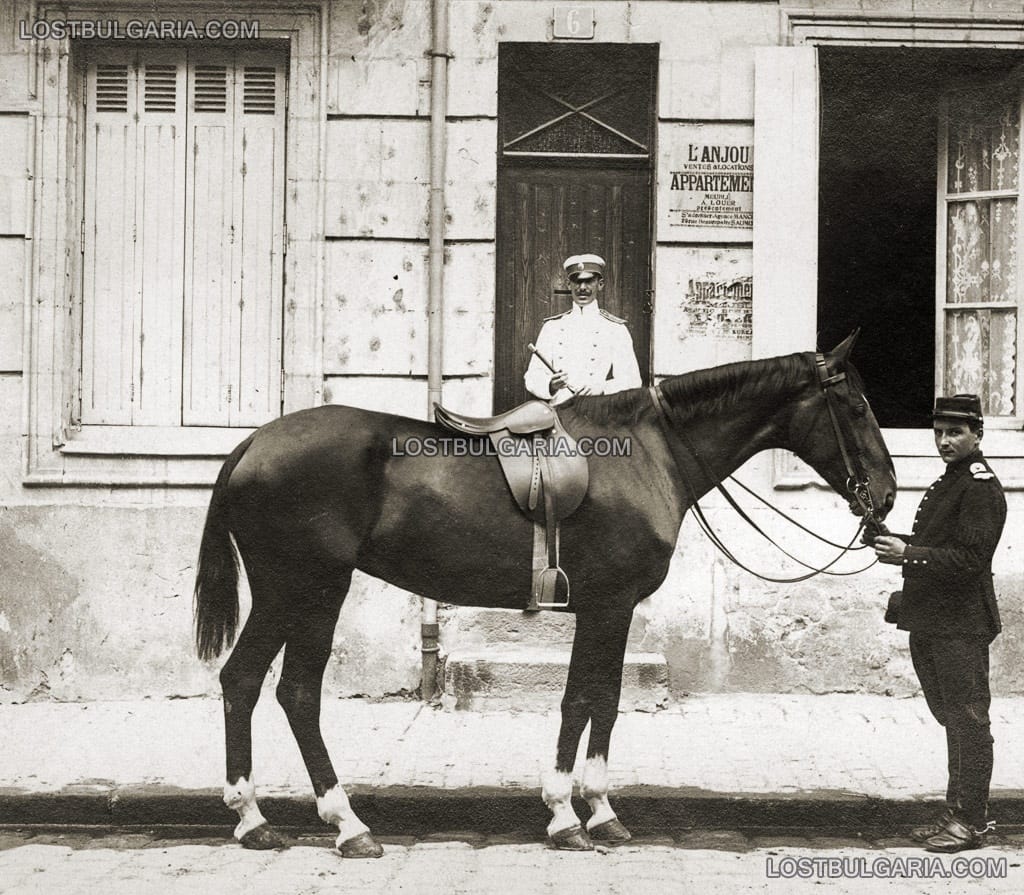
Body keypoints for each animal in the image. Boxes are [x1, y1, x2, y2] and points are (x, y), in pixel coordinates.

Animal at [193, 331, 897, 856]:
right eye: (858, 407)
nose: (887, 495)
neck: (650, 452)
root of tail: (253, 441)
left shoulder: (608, 610)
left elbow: (596, 701)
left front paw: (591, 811)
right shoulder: (609, 605)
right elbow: (587, 700)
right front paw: (573, 814)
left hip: (299, 592)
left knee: (256, 685)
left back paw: (270, 819)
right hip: (308, 588)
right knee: (283, 690)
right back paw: (330, 824)